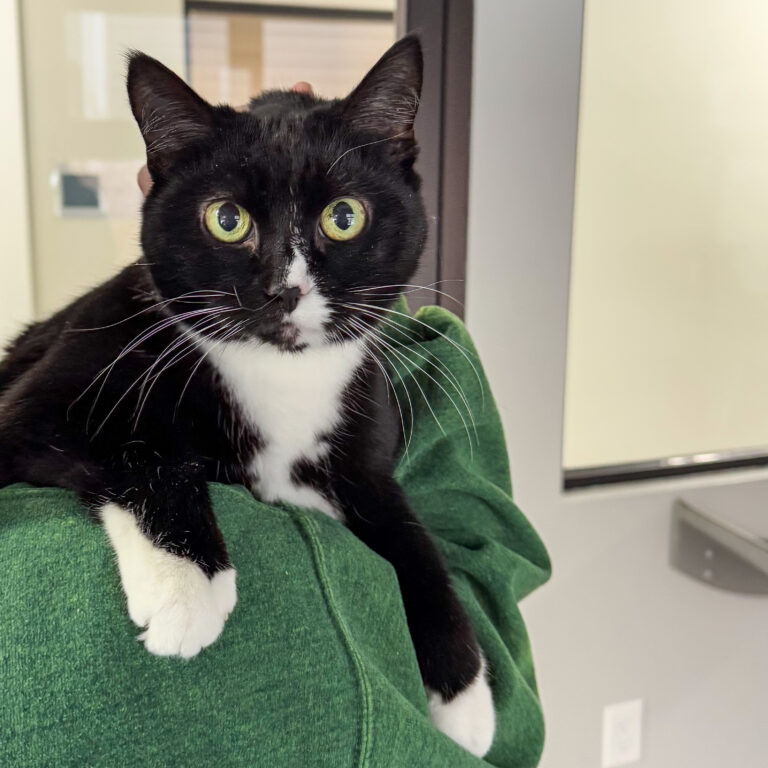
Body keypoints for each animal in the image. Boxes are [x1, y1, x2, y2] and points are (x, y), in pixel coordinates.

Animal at [0, 36, 496, 756]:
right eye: (227, 219)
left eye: (344, 217)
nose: (283, 290)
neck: (280, 374)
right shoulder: (39, 406)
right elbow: (144, 451)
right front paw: (187, 584)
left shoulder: (362, 458)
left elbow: (416, 539)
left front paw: (464, 691)